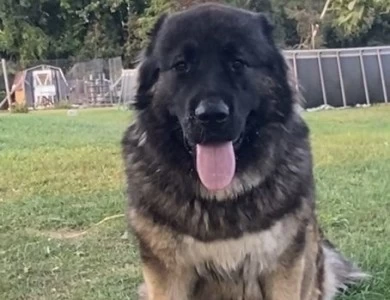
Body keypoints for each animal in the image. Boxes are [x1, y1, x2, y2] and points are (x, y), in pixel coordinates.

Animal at [121, 2, 366, 300]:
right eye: (182, 66)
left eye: (237, 63)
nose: (211, 116)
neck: (221, 196)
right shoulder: (167, 273)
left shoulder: (283, 266)